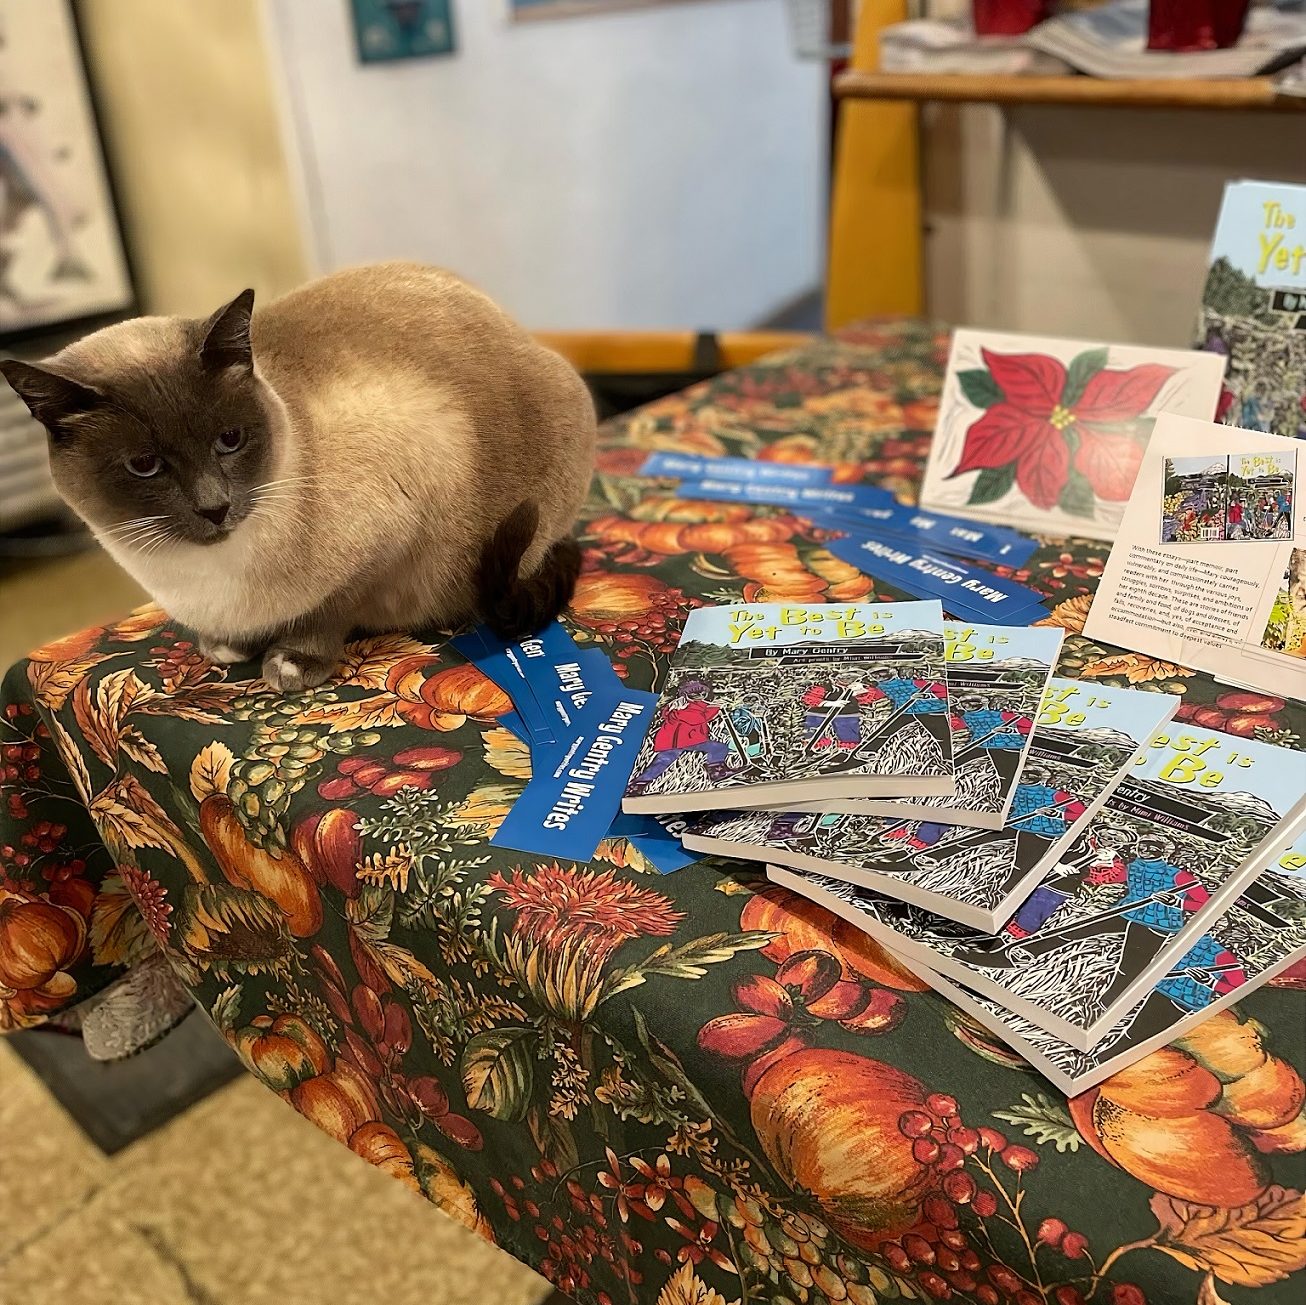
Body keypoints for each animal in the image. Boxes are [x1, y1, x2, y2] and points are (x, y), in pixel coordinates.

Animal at [0, 266, 592, 694]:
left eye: (230, 440)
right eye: (144, 466)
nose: (215, 507)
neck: (199, 575)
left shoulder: (391, 532)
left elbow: (329, 609)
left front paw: (291, 662)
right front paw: (226, 645)